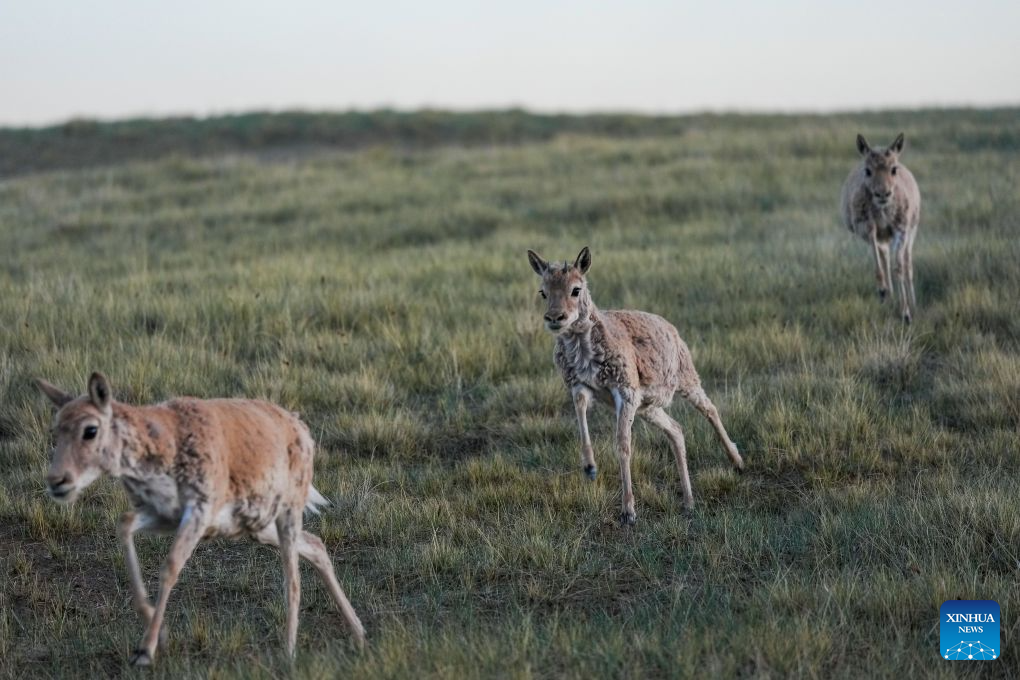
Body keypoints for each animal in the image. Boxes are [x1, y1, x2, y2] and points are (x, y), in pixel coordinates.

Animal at [35, 372, 366, 666]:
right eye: (56, 429)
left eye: (90, 429)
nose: (57, 481)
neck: (165, 442)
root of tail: (299, 426)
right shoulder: (162, 514)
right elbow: (124, 524)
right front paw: (160, 636)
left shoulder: (199, 511)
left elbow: (170, 566)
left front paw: (146, 651)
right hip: (257, 526)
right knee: (316, 545)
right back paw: (359, 632)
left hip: (287, 512)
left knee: (293, 578)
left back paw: (289, 652)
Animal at [527, 247, 744, 525]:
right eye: (543, 291)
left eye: (576, 289)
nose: (554, 318)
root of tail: (671, 327)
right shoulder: (579, 387)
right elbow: (581, 416)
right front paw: (590, 468)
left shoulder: (626, 392)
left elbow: (623, 444)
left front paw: (628, 511)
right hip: (648, 408)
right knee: (676, 429)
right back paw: (688, 502)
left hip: (687, 380)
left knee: (710, 409)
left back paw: (737, 462)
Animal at [839, 132, 922, 323]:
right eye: (868, 170)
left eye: (894, 169)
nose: (883, 194)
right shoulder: (867, 228)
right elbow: (879, 263)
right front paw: (883, 291)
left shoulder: (901, 230)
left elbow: (899, 267)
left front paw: (906, 313)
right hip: (883, 238)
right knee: (884, 256)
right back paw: (889, 295)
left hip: (911, 233)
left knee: (907, 263)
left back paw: (913, 302)